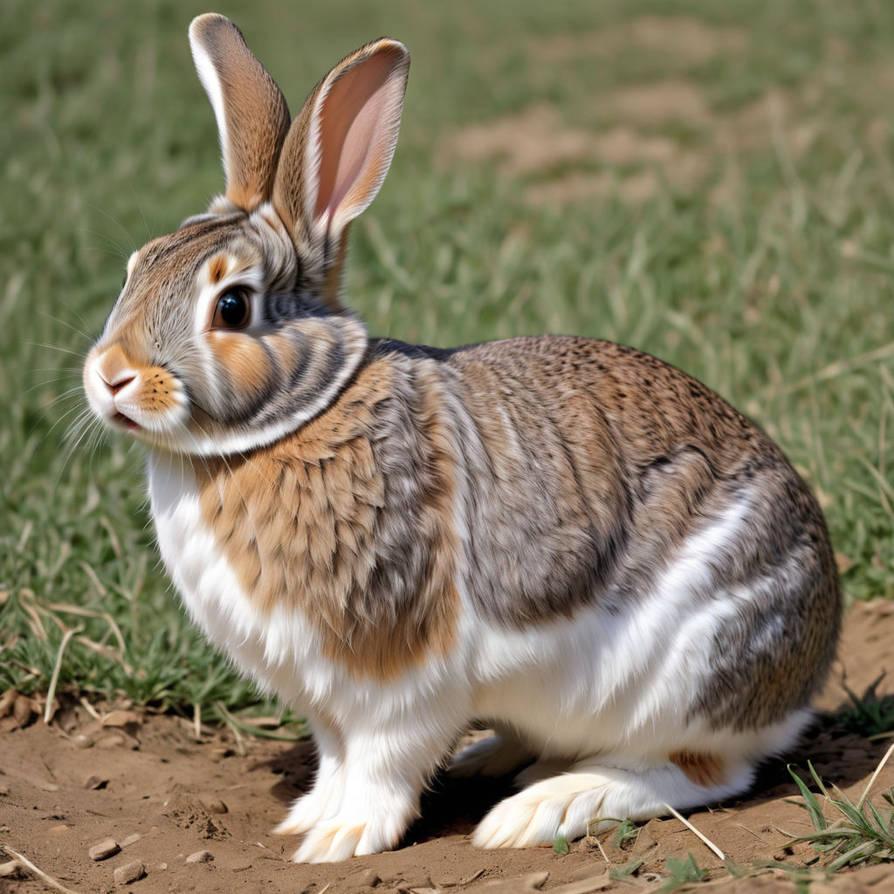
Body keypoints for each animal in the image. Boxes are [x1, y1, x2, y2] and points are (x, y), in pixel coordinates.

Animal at [82, 13, 841, 863]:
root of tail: (807, 672)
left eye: (233, 307)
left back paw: (542, 808)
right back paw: (493, 758)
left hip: (686, 668)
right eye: (139, 265)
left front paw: (343, 837)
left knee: (701, 770)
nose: (110, 375)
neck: (296, 419)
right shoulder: (325, 695)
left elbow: (382, 762)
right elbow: (336, 754)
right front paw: (309, 816)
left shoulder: (396, 677)